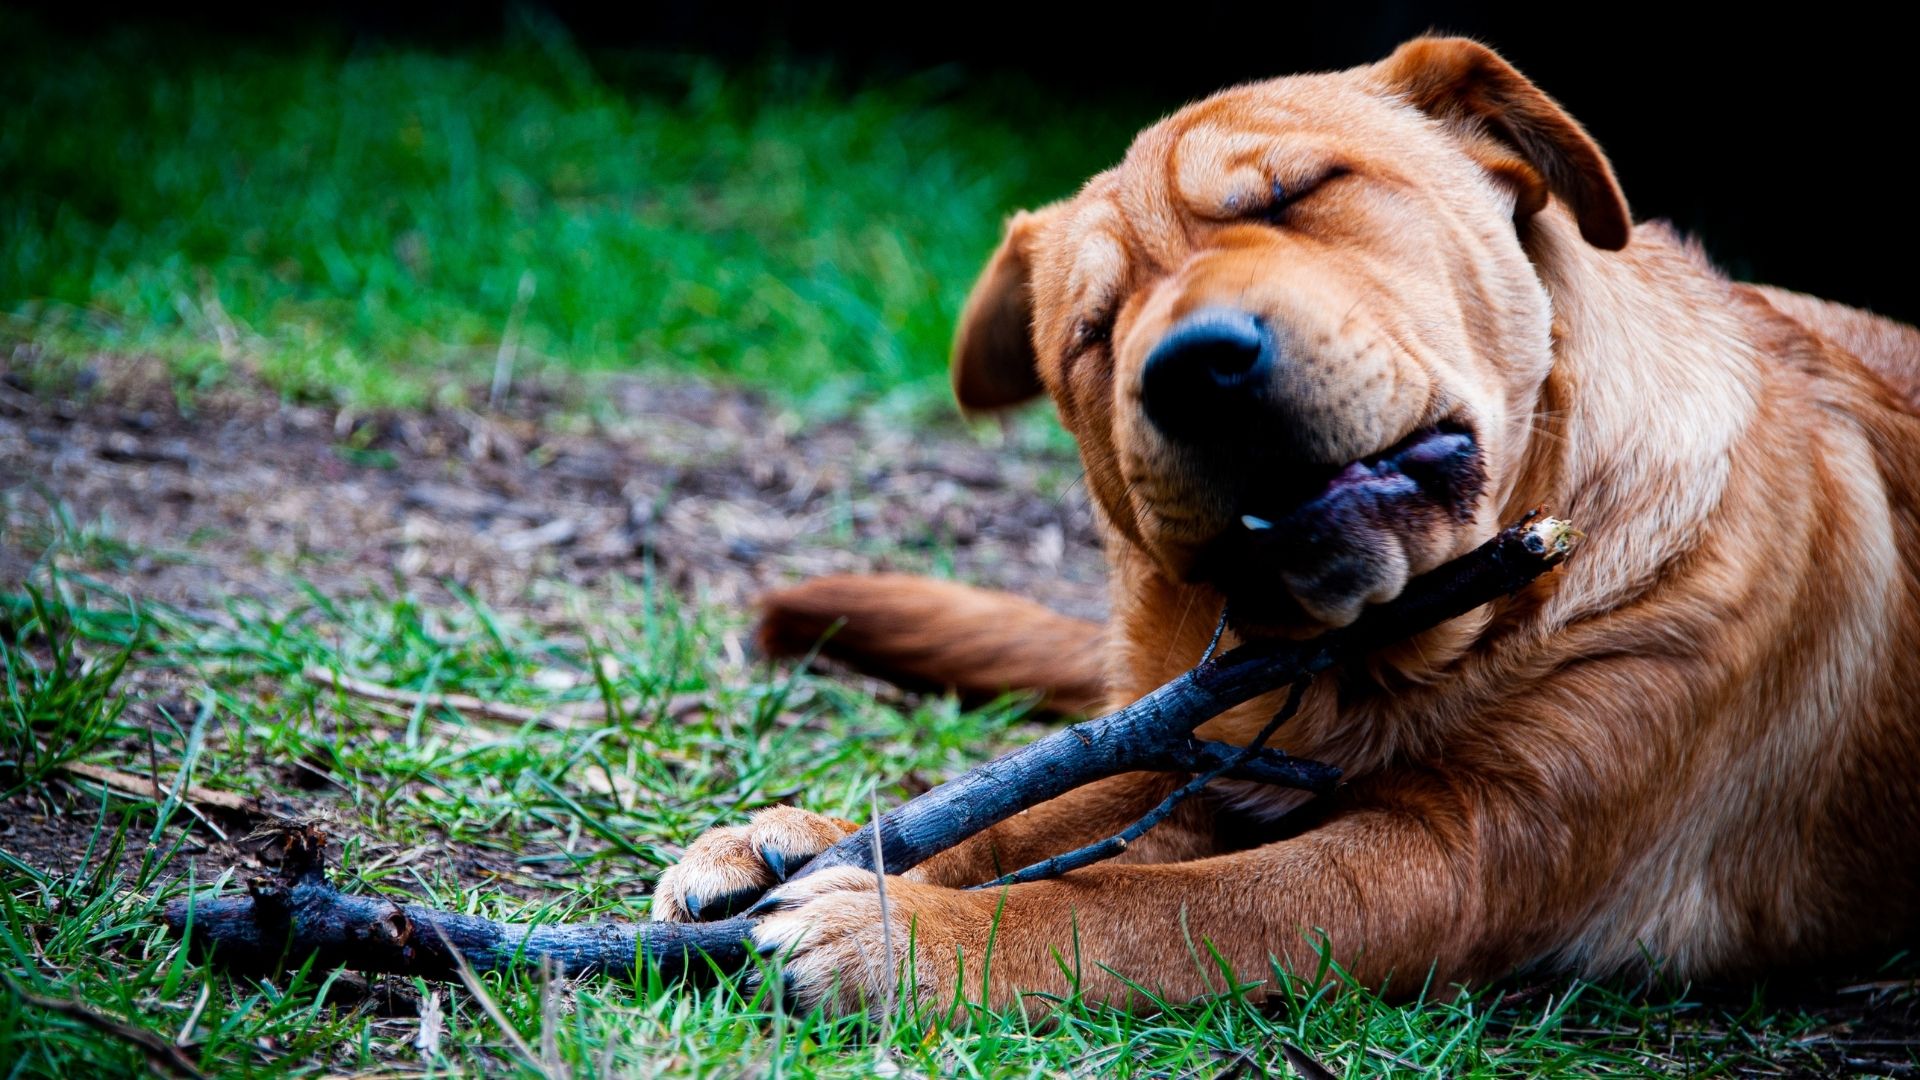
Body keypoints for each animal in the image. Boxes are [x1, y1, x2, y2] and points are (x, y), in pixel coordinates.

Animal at [648, 33, 1920, 1006]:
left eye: (1300, 194)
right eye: (1095, 329)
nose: (1194, 368)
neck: (1374, 664)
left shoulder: (1474, 851)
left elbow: (1164, 906)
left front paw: (906, 935)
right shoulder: (1200, 752)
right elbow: (1029, 809)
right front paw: (805, 843)